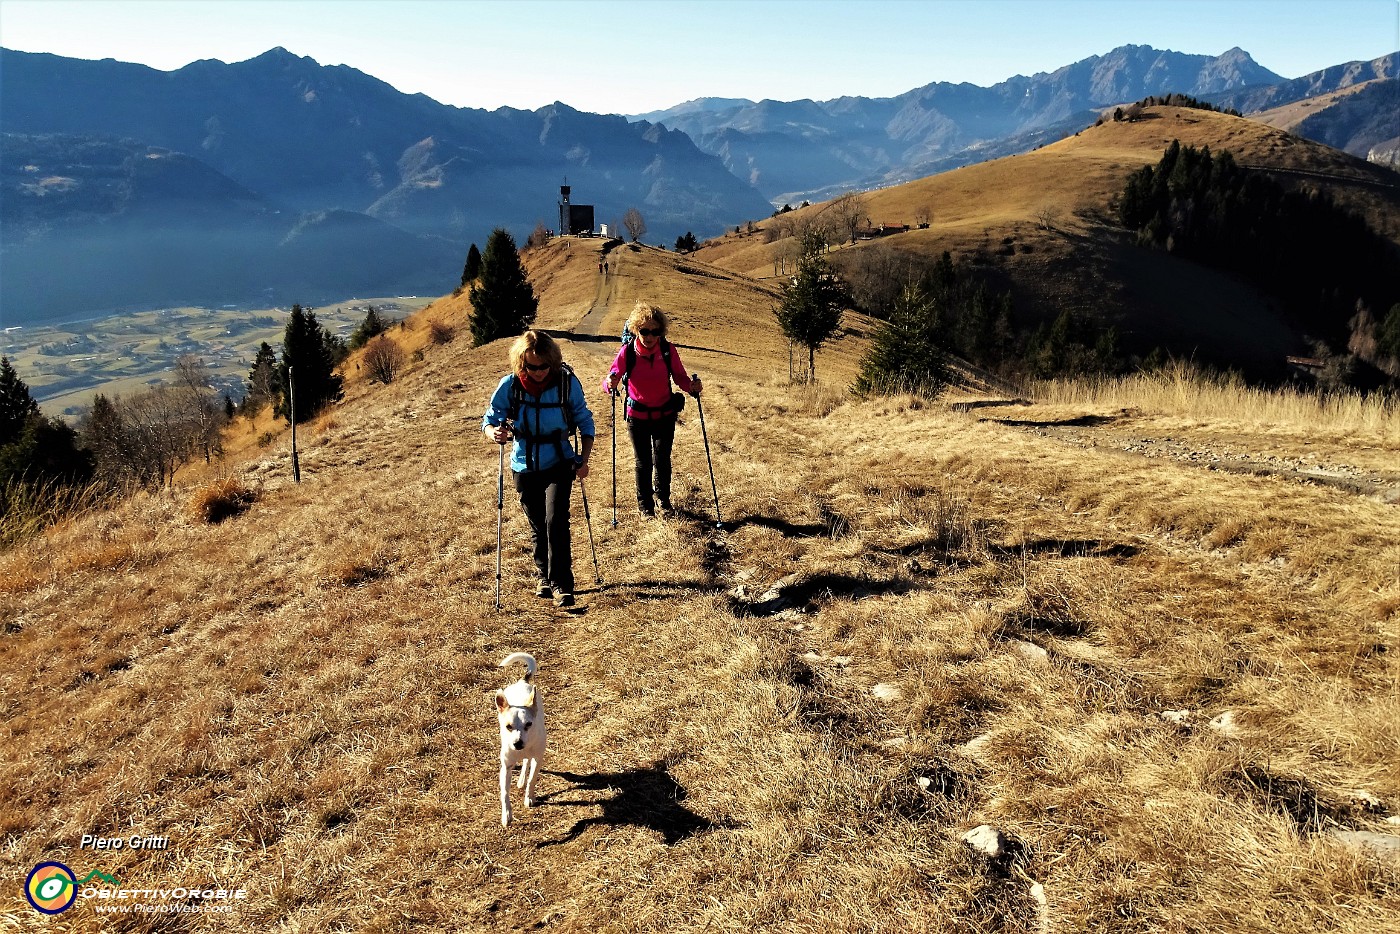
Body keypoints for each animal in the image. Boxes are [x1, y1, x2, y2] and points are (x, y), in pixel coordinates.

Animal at [495, 655, 543, 828]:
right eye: (508, 726)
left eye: (528, 724)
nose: (517, 743)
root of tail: (522, 681)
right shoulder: (506, 767)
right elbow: (504, 793)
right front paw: (506, 814)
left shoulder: (537, 759)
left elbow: (532, 779)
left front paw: (529, 797)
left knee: (526, 762)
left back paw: (522, 779)